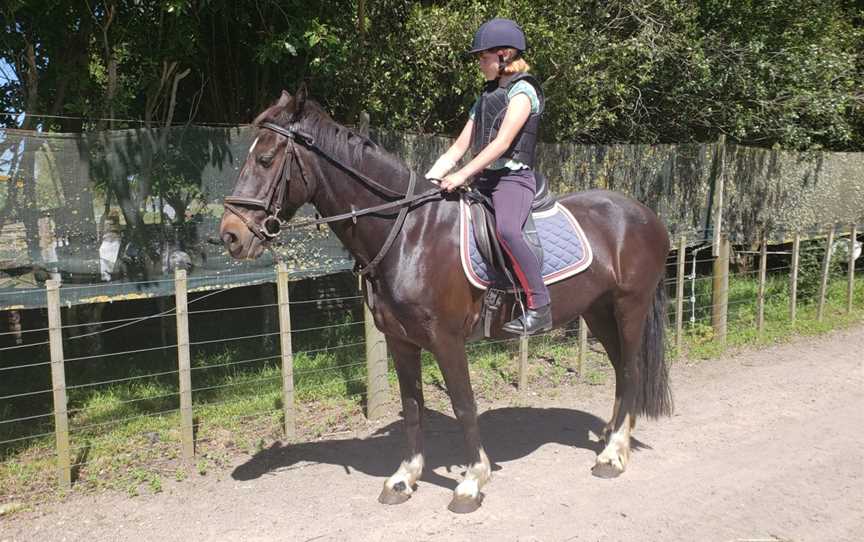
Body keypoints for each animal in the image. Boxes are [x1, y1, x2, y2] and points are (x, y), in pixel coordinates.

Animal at [219, 89, 672, 516]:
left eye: (264, 158)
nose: (230, 236)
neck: (409, 233)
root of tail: (646, 214)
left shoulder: (447, 341)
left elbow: (464, 405)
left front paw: (471, 483)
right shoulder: (401, 341)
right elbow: (413, 406)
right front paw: (404, 478)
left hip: (629, 308)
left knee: (630, 370)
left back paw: (613, 455)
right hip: (598, 311)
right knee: (620, 370)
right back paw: (612, 438)